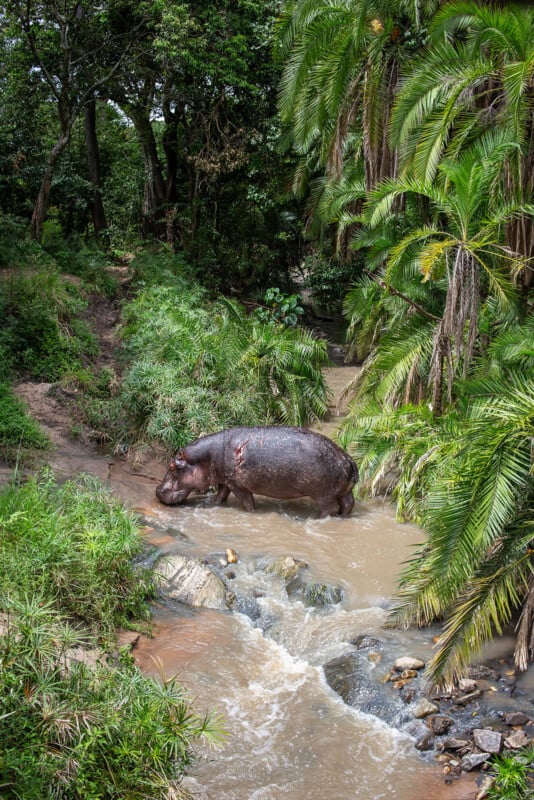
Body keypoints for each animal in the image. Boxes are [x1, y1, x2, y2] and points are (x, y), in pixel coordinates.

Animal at [155, 426, 358, 517]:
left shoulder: (238, 485)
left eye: (172, 466)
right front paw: (214, 503)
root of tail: (347, 459)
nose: (158, 490)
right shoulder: (225, 481)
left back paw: (315, 518)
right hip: (343, 491)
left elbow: (247, 503)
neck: (206, 457)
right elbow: (220, 496)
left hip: (323, 495)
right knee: (348, 504)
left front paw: (250, 513)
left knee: (330, 508)